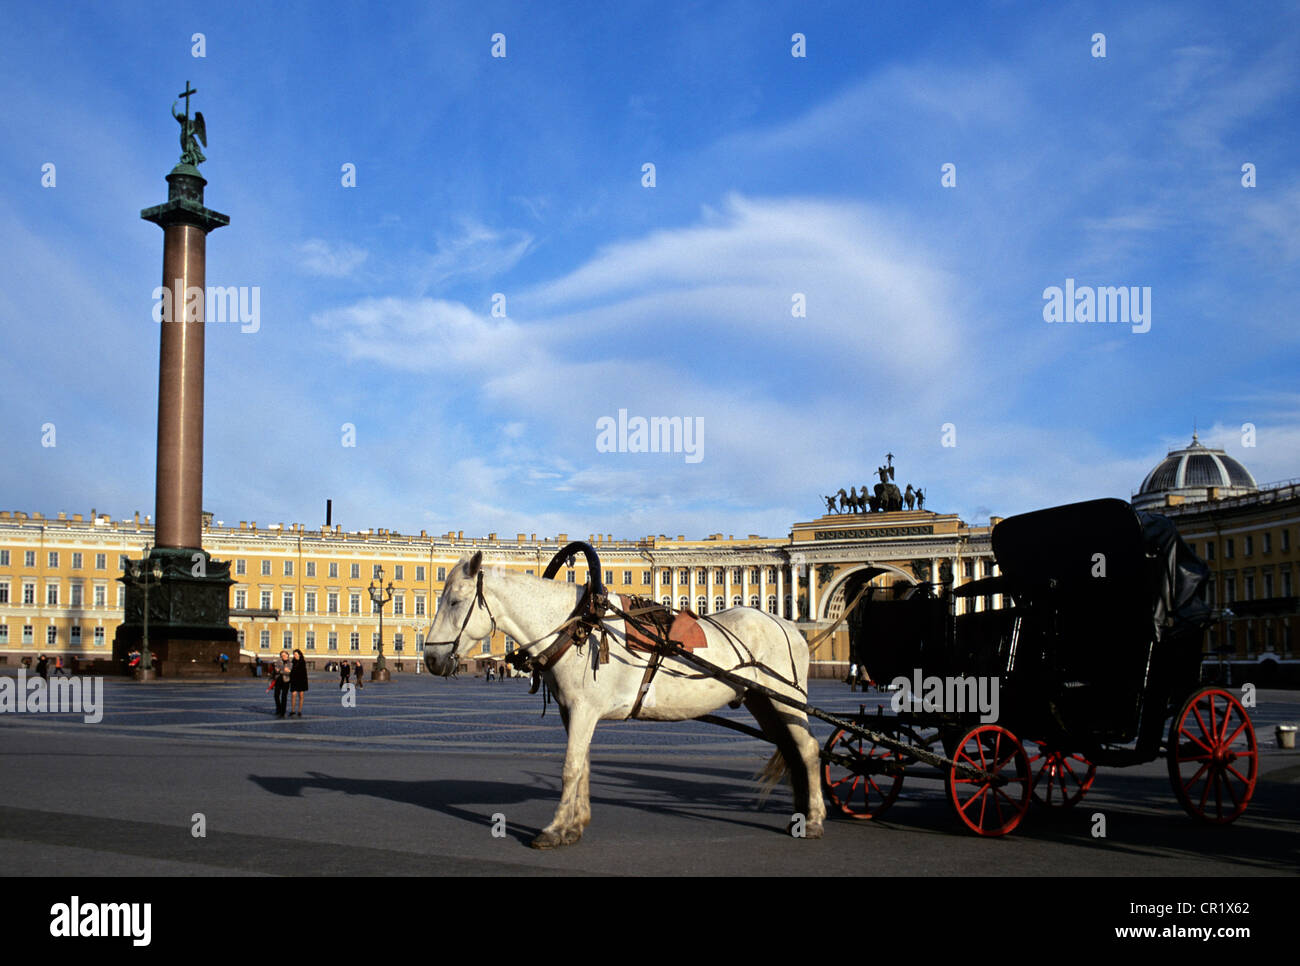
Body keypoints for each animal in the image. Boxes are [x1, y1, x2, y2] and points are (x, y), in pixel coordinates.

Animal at [421, 556, 821, 847]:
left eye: (455, 601)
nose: (431, 659)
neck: (579, 625)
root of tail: (791, 627)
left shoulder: (583, 710)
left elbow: (570, 768)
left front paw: (554, 830)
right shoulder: (572, 712)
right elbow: (583, 767)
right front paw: (575, 826)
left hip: (788, 700)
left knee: (809, 749)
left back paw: (814, 819)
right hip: (763, 702)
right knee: (792, 750)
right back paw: (800, 813)